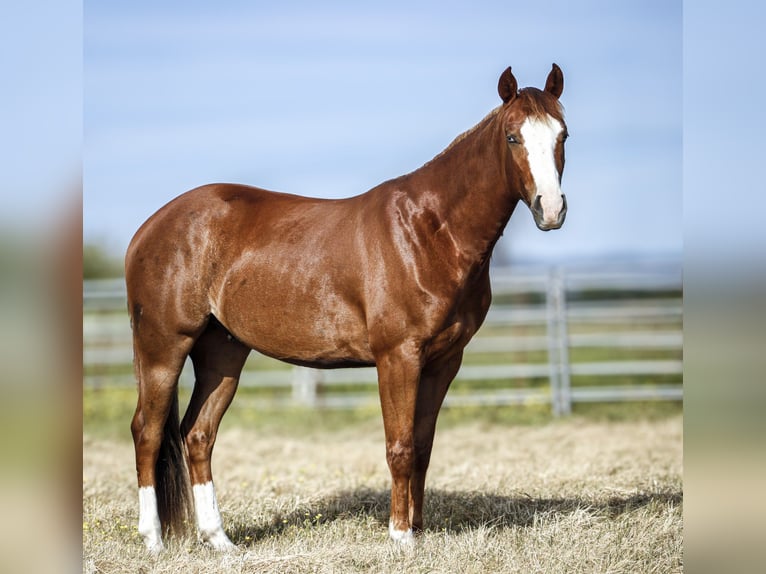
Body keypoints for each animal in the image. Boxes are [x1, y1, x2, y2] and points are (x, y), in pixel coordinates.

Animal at [126, 64, 568, 552]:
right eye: (512, 137)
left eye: (562, 135)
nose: (551, 209)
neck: (428, 231)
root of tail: (148, 229)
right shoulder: (398, 357)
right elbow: (400, 447)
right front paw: (400, 537)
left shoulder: (444, 361)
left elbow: (423, 447)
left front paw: (417, 530)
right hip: (164, 346)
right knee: (147, 432)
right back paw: (153, 540)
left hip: (222, 353)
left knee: (197, 434)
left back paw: (220, 540)